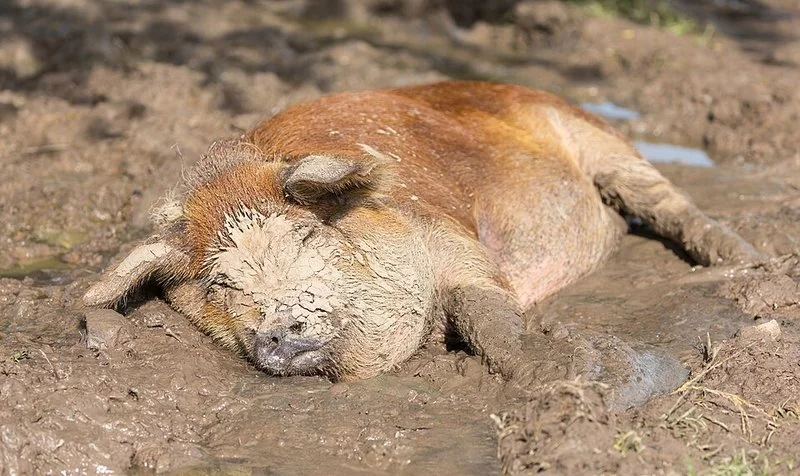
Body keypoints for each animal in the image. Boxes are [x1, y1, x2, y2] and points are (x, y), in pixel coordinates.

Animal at [83, 81, 762, 382]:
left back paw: (749, 263)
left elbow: (485, 310)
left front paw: (544, 371)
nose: (276, 326)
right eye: (220, 283)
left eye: (305, 237)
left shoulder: (452, 239)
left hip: (601, 141)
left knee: (672, 205)